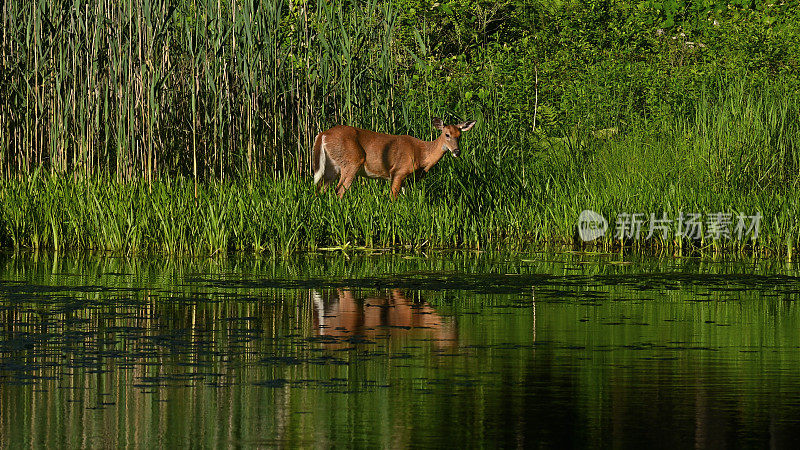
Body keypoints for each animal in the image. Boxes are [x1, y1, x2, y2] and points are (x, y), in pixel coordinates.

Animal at [310, 118, 476, 197]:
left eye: (460, 135)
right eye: (447, 134)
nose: (457, 151)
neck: (422, 154)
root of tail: (323, 134)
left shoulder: (407, 180)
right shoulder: (398, 171)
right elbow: (392, 197)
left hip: (332, 166)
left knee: (320, 188)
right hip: (351, 162)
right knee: (339, 190)